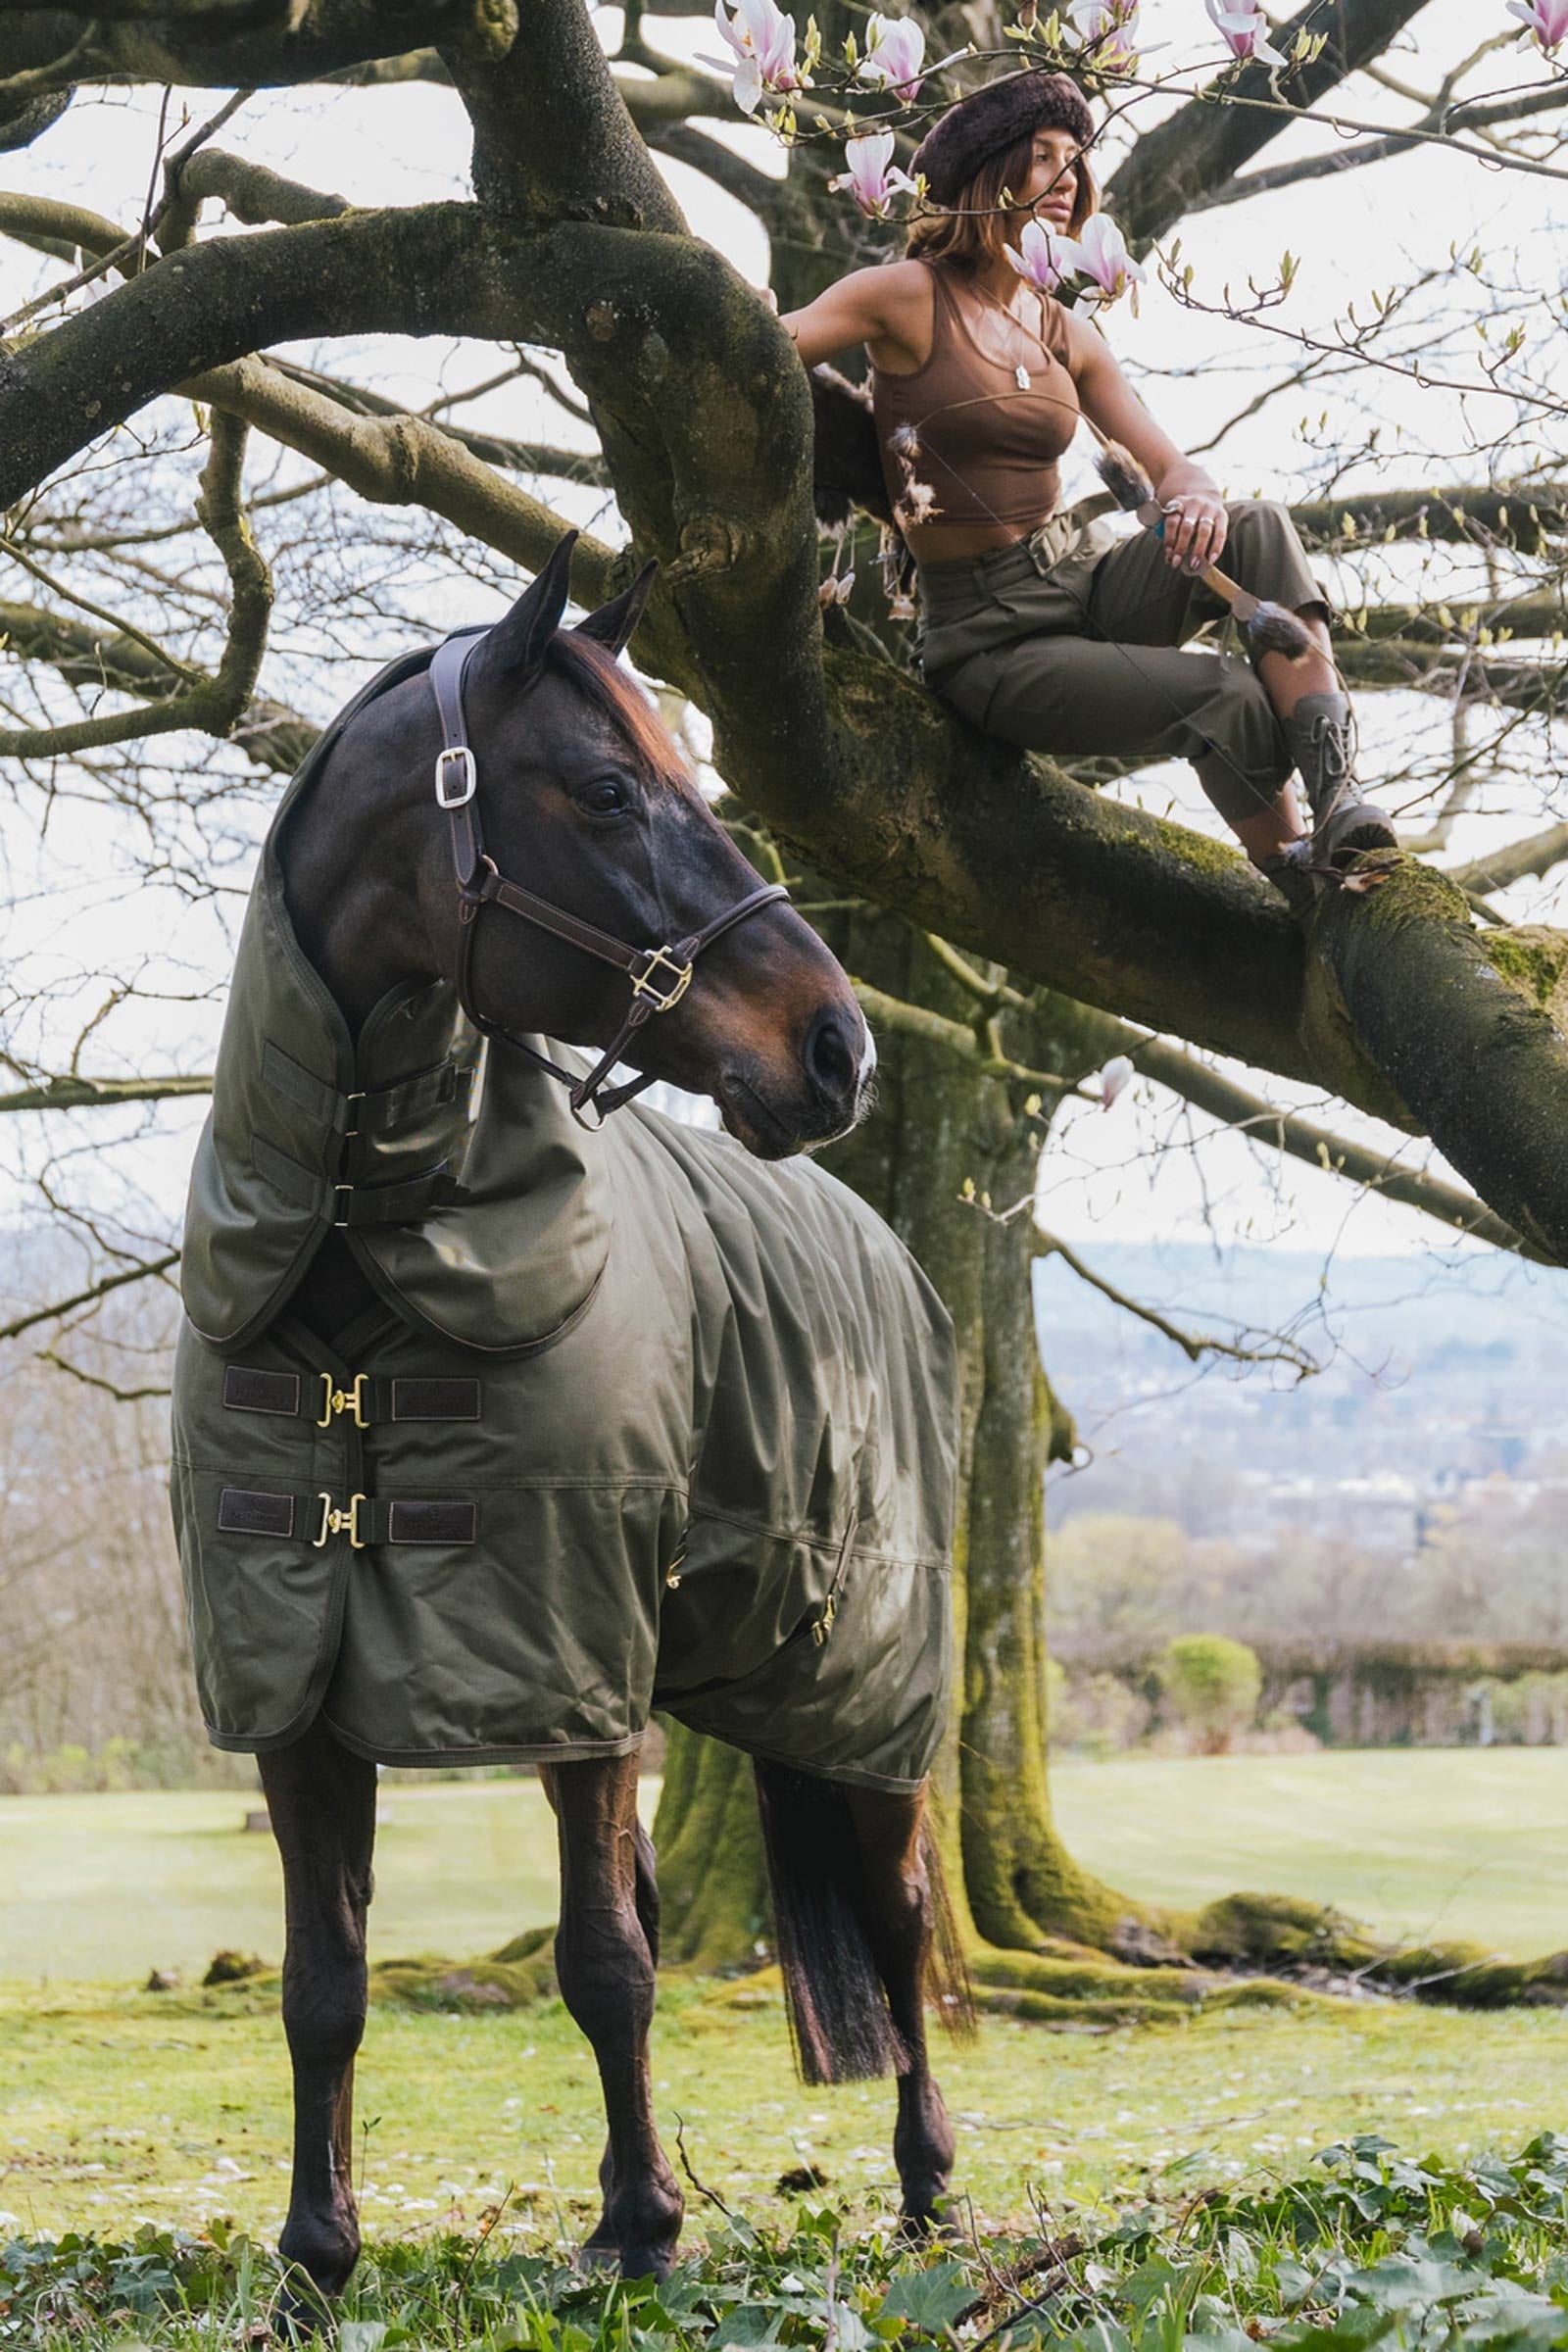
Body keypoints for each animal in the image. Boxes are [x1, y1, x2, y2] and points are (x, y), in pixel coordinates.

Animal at [169, 530, 966, 2305]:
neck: (363, 1270)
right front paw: (316, 2255)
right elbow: (324, 1982)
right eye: (608, 791)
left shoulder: (570, 1669)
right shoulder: (298, 1683)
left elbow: (603, 1965)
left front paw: (642, 2234)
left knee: (896, 1923)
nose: (839, 1050)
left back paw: (932, 2194)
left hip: (862, 1689)